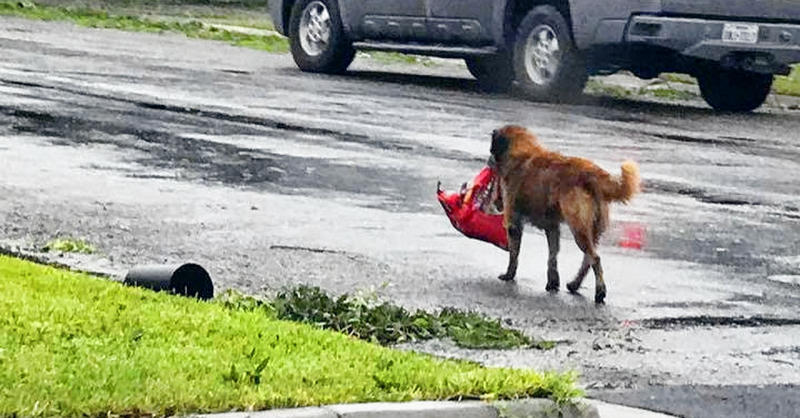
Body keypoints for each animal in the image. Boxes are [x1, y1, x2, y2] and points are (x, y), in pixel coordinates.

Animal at [484, 124, 640, 304]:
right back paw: (574, 284)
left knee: (595, 258)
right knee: (588, 258)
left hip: (578, 228)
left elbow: (514, 254)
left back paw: (600, 292)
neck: (522, 151)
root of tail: (590, 172)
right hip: (592, 229)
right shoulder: (552, 227)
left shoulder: (514, 223)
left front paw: (509, 275)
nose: (488, 160)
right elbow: (553, 255)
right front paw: (552, 282)